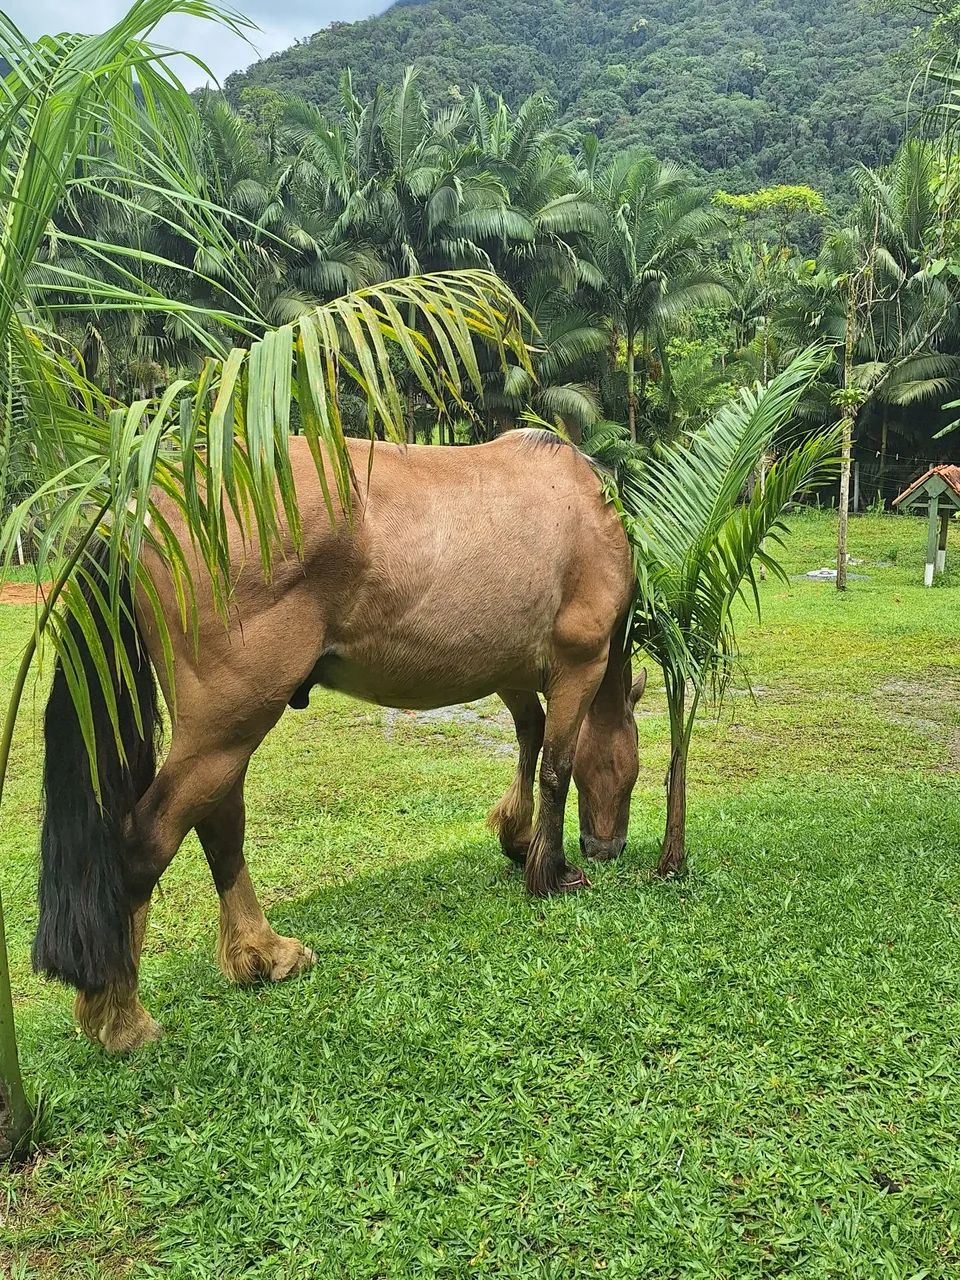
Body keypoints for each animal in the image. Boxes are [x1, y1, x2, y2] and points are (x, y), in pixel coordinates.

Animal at [33, 429, 646, 1052]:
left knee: (220, 823)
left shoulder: (511, 673)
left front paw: (518, 837)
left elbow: (529, 739)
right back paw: (120, 1016)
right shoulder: (579, 665)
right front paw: (552, 871)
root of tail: (138, 509)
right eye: (630, 771)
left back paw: (263, 953)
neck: (585, 505)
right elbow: (556, 765)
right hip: (227, 726)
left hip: (224, 732)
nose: (607, 847)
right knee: (146, 840)